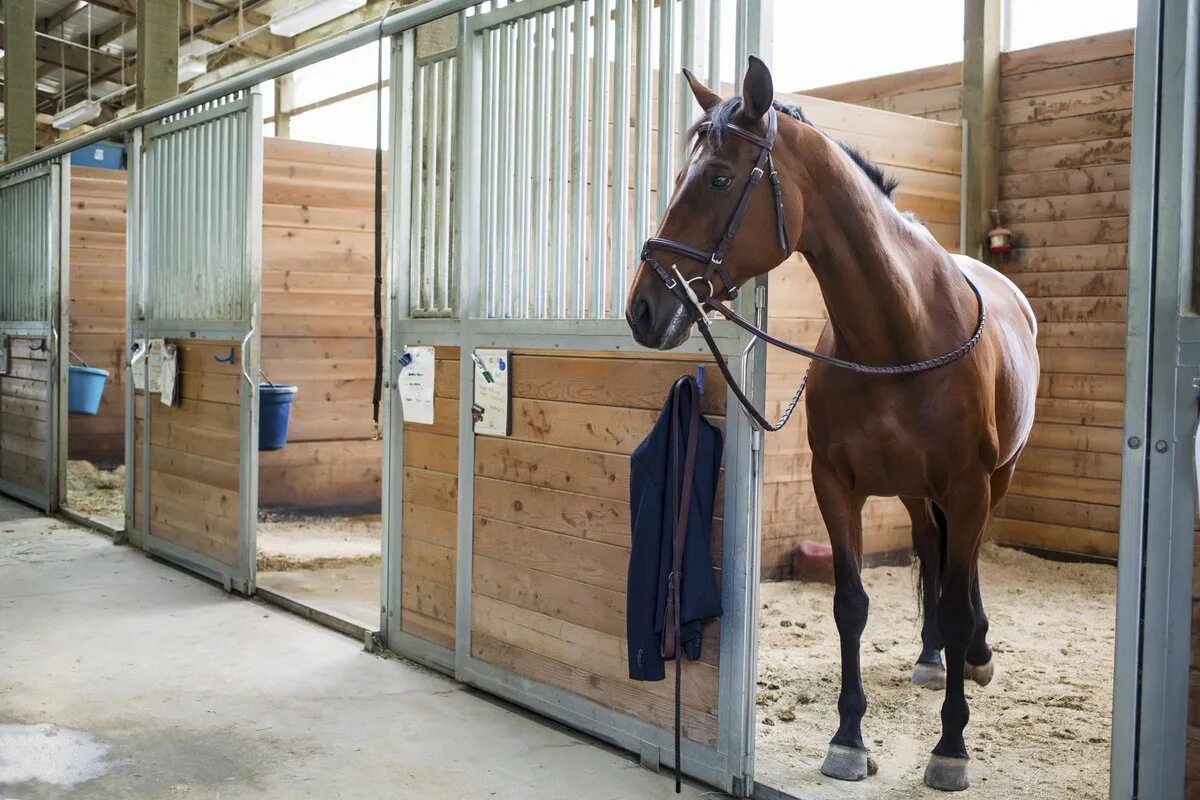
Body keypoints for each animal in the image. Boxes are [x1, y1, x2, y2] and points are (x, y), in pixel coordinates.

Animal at [628, 59, 1041, 791]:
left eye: (719, 178)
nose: (643, 309)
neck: (899, 336)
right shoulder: (836, 485)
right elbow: (851, 604)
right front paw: (848, 740)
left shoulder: (966, 486)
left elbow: (956, 603)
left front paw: (951, 748)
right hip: (916, 492)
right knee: (932, 553)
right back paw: (932, 657)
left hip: (995, 481)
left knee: (965, 574)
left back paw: (974, 655)